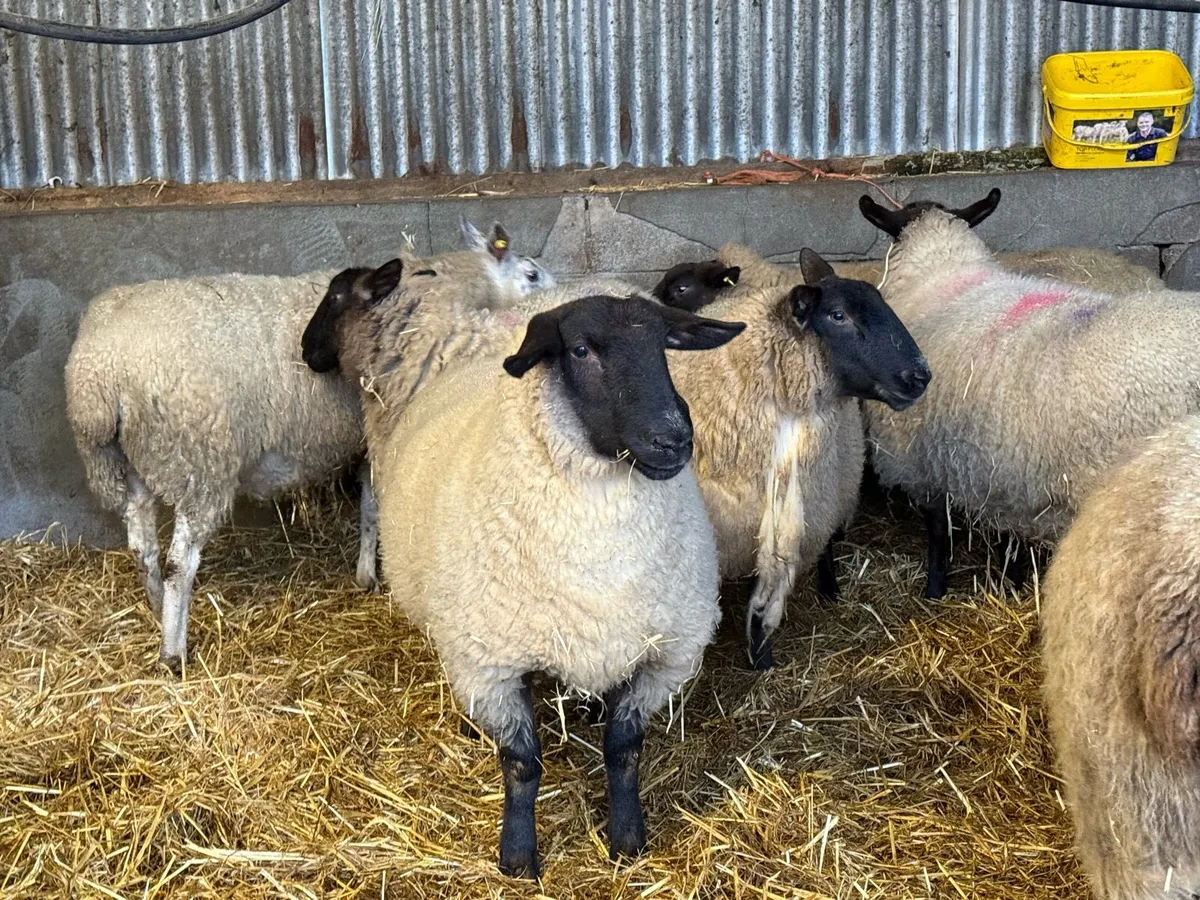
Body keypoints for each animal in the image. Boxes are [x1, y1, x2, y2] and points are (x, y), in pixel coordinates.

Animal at [64, 219, 544, 673]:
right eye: (533, 274)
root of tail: (97, 376)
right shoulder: (375, 439)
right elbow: (373, 508)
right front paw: (368, 575)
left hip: (133, 461)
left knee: (142, 545)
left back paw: (153, 606)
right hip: (199, 461)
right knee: (180, 563)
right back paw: (173, 650)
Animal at [367, 287, 746, 877]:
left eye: (665, 343)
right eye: (582, 349)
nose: (672, 440)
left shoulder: (664, 657)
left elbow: (624, 749)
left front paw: (628, 839)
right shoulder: (491, 666)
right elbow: (522, 764)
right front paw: (518, 855)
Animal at [857, 187, 1200, 599]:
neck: (941, 277)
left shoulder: (922, 461)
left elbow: (939, 534)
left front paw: (935, 590)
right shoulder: (1004, 470)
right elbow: (1008, 537)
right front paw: (1013, 581)